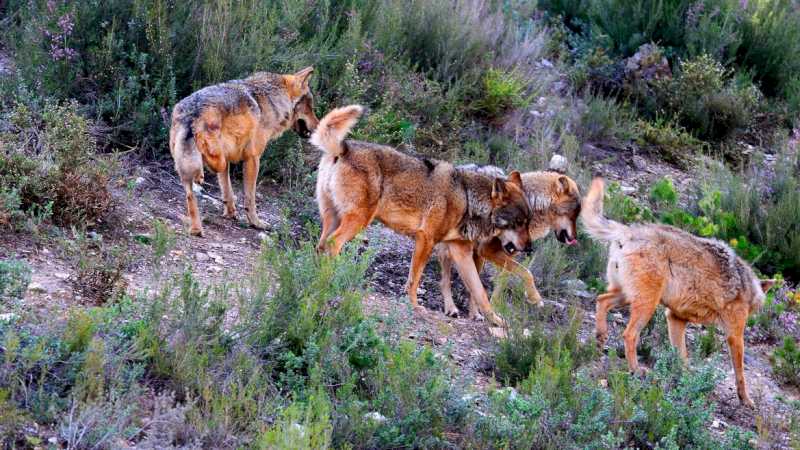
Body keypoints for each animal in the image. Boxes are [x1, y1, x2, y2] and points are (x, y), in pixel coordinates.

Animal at [170, 67, 320, 237]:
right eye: (310, 107)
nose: (319, 126)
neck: (272, 100)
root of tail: (191, 112)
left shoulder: (230, 160)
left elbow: (227, 191)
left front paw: (230, 213)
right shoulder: (253, 158)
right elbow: (250, 197)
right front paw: (256, 223)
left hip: (187, 166)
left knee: (190, 196)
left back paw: (196, 229)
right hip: (215, 157)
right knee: (211, 163)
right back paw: (200, 178)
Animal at [312, 103, 532, 326]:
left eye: (527, 222)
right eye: (518, 222)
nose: (529, 248)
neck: (467, 199)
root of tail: (344, 147)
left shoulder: (460, 252)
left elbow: (480, 292)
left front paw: (495, 319)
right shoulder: (426, 239)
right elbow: (415, 279)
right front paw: (415, 306)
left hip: (334, 219)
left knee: (321, 246)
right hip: (359, 221)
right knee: (333, 244)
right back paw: (338, 275)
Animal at [438, 167, 580, 318]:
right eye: (573, 215)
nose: (575, 238)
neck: (534, 205)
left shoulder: (509, 254)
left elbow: (503, 281)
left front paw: (492, 308)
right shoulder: (488, 251)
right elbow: (527, 272)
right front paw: (535, 298)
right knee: (445, 280)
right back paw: (451, 308)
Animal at [580, 177, 776, 408]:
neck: (747, 285)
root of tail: (628, 231)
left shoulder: (675, 318)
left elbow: (681, 357)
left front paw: (686, 380)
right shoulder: (734, 334)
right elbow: (740, 373)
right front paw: (745, 399)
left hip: (626, 297)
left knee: (601, 300)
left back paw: (600, 339)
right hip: (646, 306)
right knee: (629, 334)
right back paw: (635, 370)